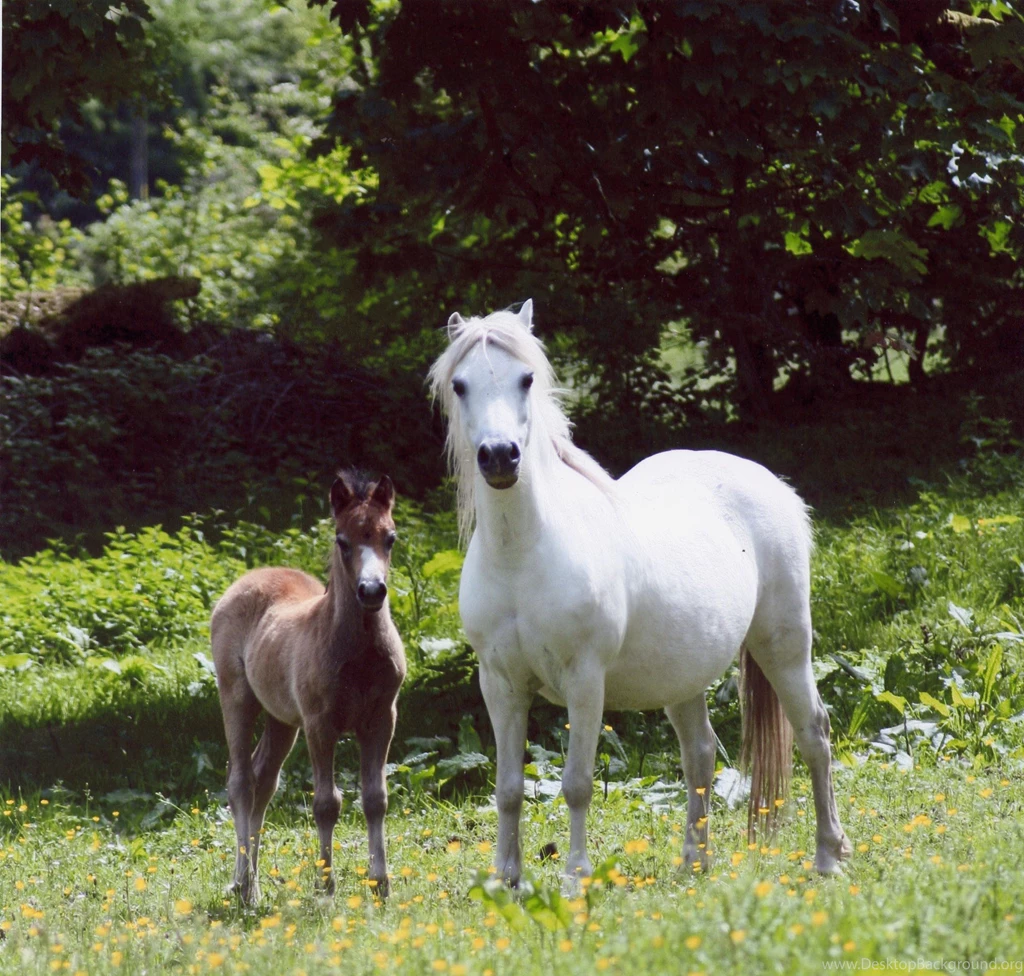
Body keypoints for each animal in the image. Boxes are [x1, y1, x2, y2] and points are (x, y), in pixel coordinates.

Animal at [210, 469, 406, 905]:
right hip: (236, 698)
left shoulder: (382, 720)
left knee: (264, 781)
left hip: (282, 720)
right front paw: (326, 887)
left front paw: (381, 884)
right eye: (342, 540)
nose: (372, 591)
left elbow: (376, 799)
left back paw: (247, 881)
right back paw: (247, 888)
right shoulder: (320, 724)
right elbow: (326, 804)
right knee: (241, 782)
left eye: (390, 537)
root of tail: (249, 577)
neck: (358, 653)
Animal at [427, 300, 851, 886]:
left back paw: (829, 855)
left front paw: (576, 877)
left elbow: (577, 784)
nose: (499, 457)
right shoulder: (500, 685)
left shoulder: (585, 681)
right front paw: (506, 880)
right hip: (683, 675)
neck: (523, 555)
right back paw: (695, 859)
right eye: (460, 384)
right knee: (699, 754)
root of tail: (774, 486)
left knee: (814, 735)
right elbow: (508, 789)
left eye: (526, 378)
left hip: (784, 647)